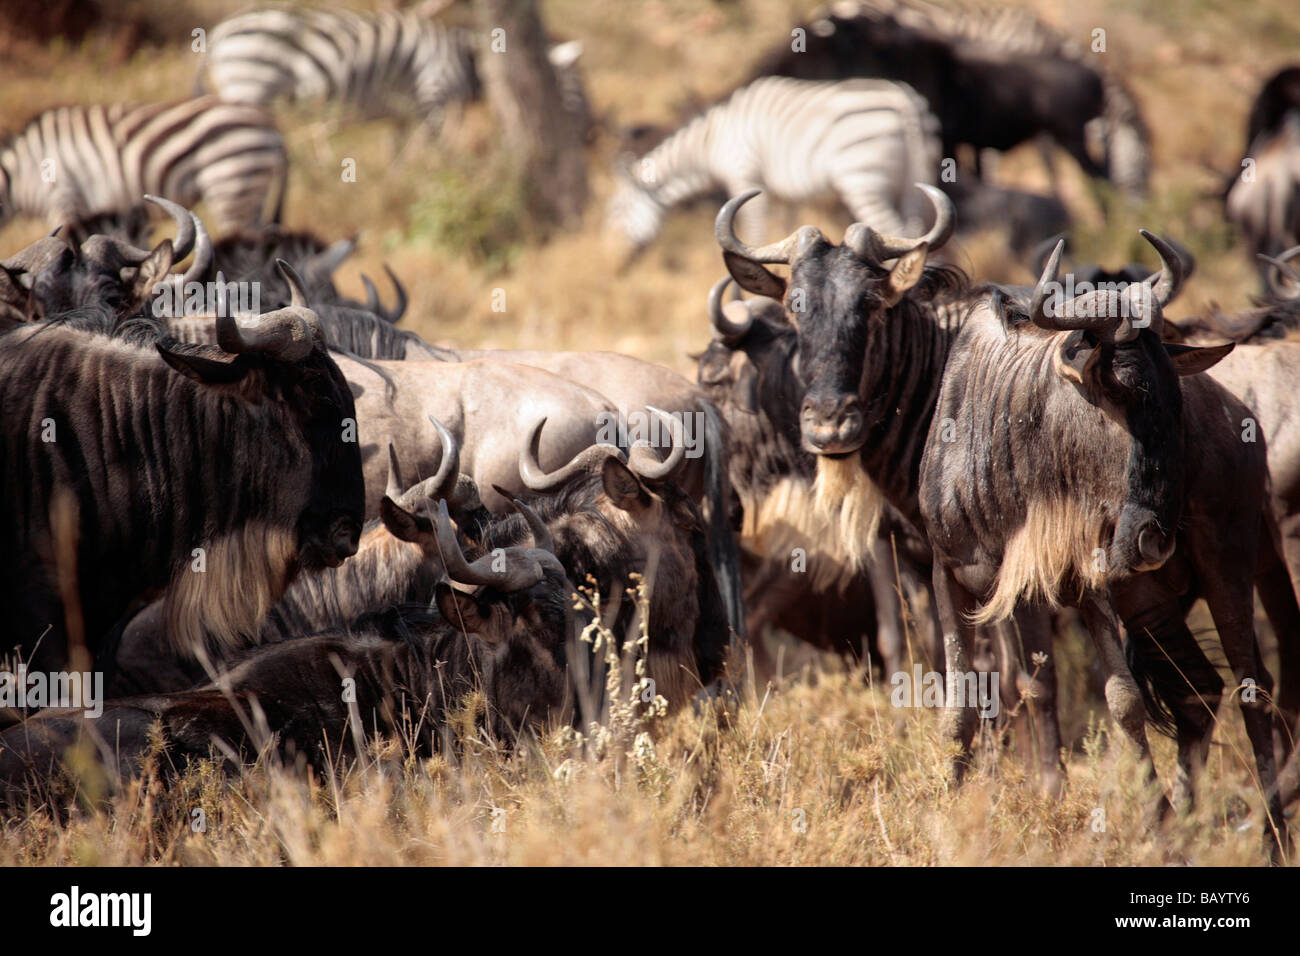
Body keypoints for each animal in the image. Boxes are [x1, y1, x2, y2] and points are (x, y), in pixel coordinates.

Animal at [603, 75, 941, 254]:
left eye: (617, 211)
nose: (614, 262)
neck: (710, 141)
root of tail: (903, 100)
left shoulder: (744, 176)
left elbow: (753, 233)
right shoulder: (782, 194)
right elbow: (784, 232)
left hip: (861, 179)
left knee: (894, 231)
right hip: (911, 181)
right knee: (915, 230)